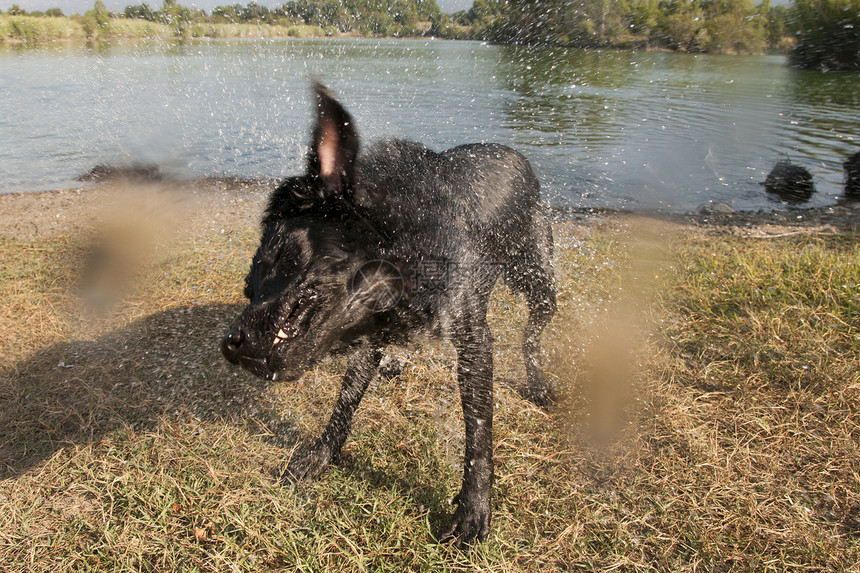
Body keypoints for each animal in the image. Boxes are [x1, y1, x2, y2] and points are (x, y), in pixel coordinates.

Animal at [222, 81, 556, 544]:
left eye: (282, 256)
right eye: (247, 288)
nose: (230, 344)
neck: (407, 245)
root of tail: (515, 155)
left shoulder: (473, 340)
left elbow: (478, 433)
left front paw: (474, 509)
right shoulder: (369, 336)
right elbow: (345, 402)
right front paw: (321, 455)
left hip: (537, 278)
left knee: (533, 332)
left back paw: (538, 383)